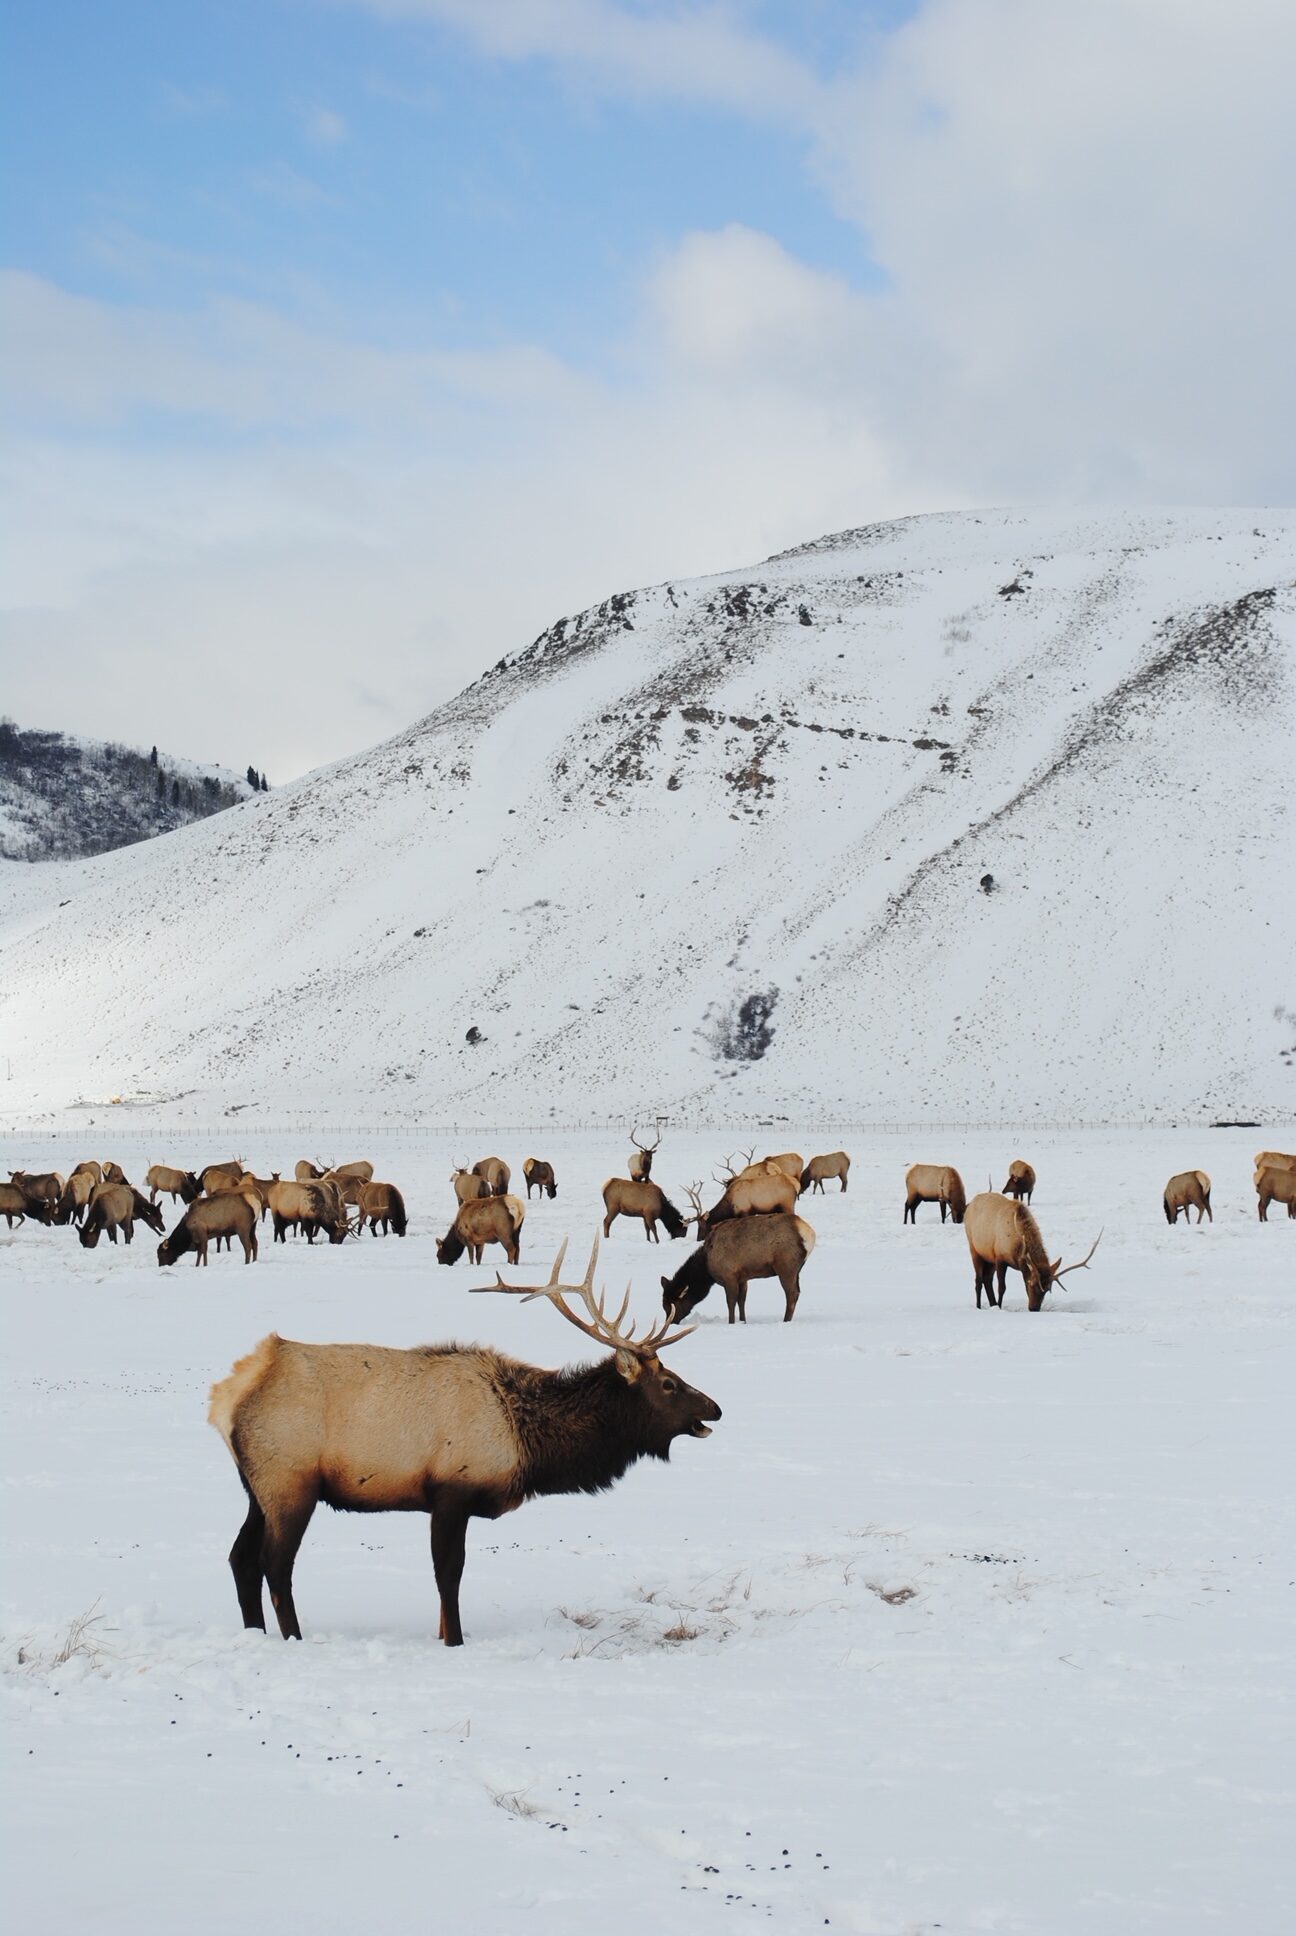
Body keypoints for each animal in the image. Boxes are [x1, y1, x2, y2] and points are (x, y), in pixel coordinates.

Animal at [208, 1239, 724, 1649]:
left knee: (239, 1558)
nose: (715, 1409)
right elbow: (449, 1575)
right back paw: (294, 1638)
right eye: (669, 1384)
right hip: (290, 1481)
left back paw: (255, 1633)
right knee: (274, 1563)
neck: (526, 1443)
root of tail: (228, 1394)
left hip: (256, 1487)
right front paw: (454, 1641)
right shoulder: (452, 1491)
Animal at [662, 1215, 813, 1324]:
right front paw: (743, 1321)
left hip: (786, 1266)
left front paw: (731, 1322)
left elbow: (731, 1302)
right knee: (797, 1292)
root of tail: (809, 1234)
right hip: (797, 1270)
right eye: (664, 1305)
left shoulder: (729, 1276)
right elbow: (742, 1300)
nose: (671, 1323)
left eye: (672, 1305)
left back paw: (786, 1320)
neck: (707, 1266)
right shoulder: (742, 1278)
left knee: (792, 1293)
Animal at [964, 1192, 1100, 1316]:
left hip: (988, 1257)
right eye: (1031, 1284)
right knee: (978, 1281)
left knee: (987, 1279)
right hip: (974, 1248)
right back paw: (979, 1306)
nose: (1034, 1309)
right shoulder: (1000, 1257)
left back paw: (993, 1304)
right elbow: (1002, 1287)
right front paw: (1000, 1307)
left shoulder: (1001, 1259)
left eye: (1047, 1290)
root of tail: (970, 1204)